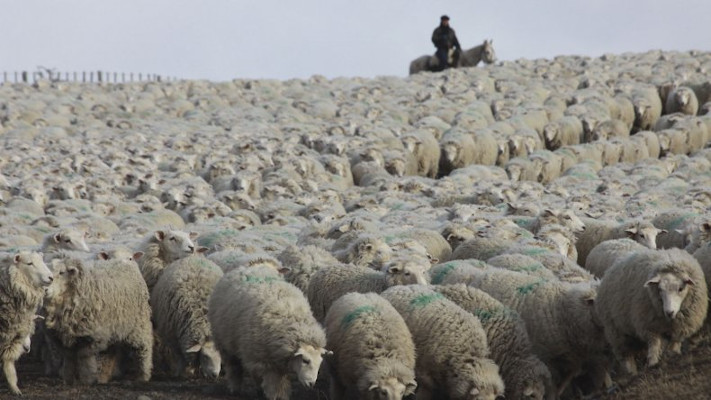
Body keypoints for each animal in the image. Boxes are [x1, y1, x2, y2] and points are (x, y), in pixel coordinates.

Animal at [43, 256, 153, 384]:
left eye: (61, 273)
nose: (45, 289)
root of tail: (126, 261)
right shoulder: (62, 336)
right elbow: (69, 358)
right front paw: (68, 379)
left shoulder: (92, 336)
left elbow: (84, 358)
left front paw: (86, 379)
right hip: (114, 329)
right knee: (111, 352)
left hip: (139, 324)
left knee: (144, 348)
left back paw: (143, 376)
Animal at [209, 264, 330, 398]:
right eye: (305, 360)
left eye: (320, 363)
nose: (311, 384)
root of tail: (244, 268)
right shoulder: (258, 357)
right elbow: (269, 381)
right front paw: (271, 395)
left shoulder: (279, 359)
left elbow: (281, 381)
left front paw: (282, 395)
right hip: (225, 343)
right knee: (234, 367)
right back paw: (235, 388)